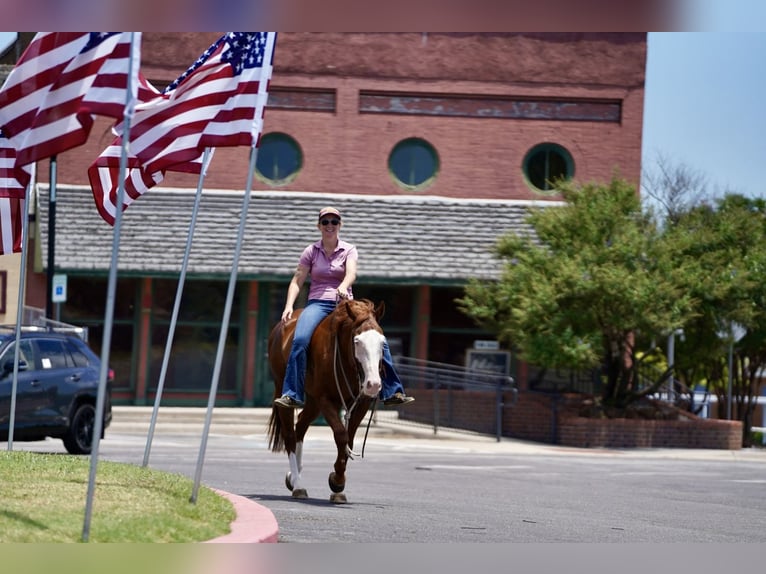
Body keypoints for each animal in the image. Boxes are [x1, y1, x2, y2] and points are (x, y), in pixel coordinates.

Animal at [270, 300, 390, 506]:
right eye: (357, 341)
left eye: (382, 342)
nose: (374, 384)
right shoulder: (326, 400)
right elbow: (341, 436)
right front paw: (337, 481)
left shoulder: (362, 403)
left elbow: (349, 439)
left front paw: (338, 484)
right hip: (284, 391)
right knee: (290, 435)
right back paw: (298, 485)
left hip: (313, 402)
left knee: (301, 426)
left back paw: (294, 477)